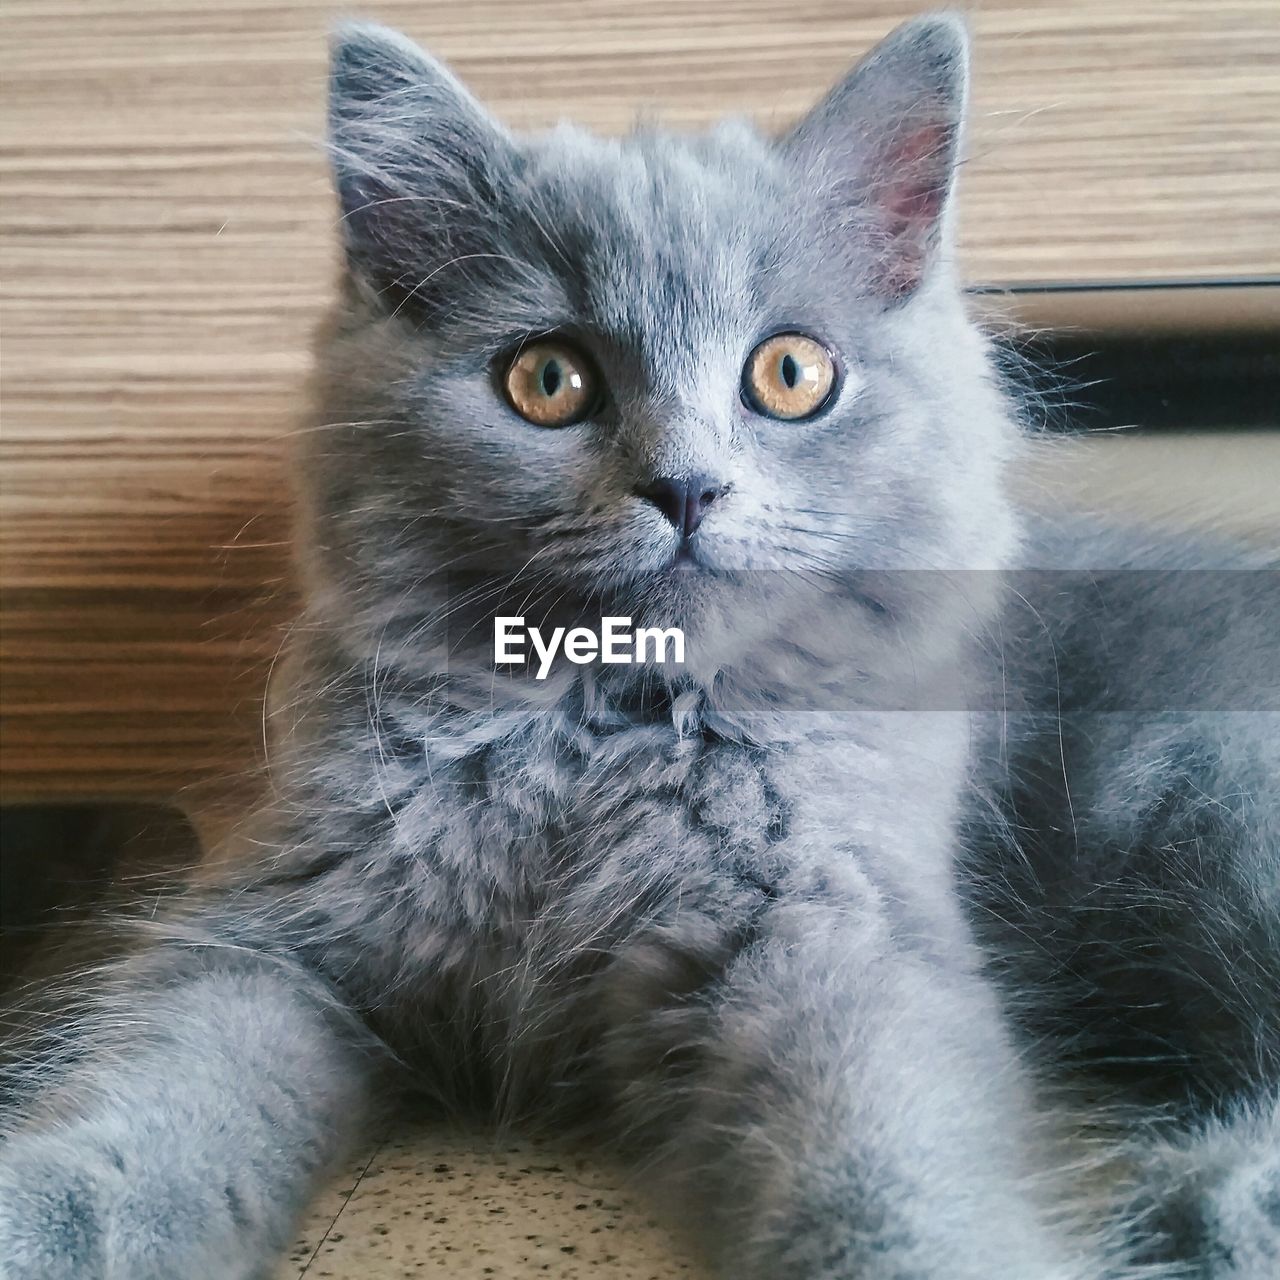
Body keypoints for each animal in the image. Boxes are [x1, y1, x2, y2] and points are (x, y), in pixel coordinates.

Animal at [2, 12, 1280, 1280]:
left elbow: (883, 1160)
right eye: (546, 378)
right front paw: (43, 1218)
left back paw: (1216, 1206)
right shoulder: (280, 925)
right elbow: (155, 1103)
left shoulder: (831, 924)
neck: (604, 728)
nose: (684, 486)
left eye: (790, 371)